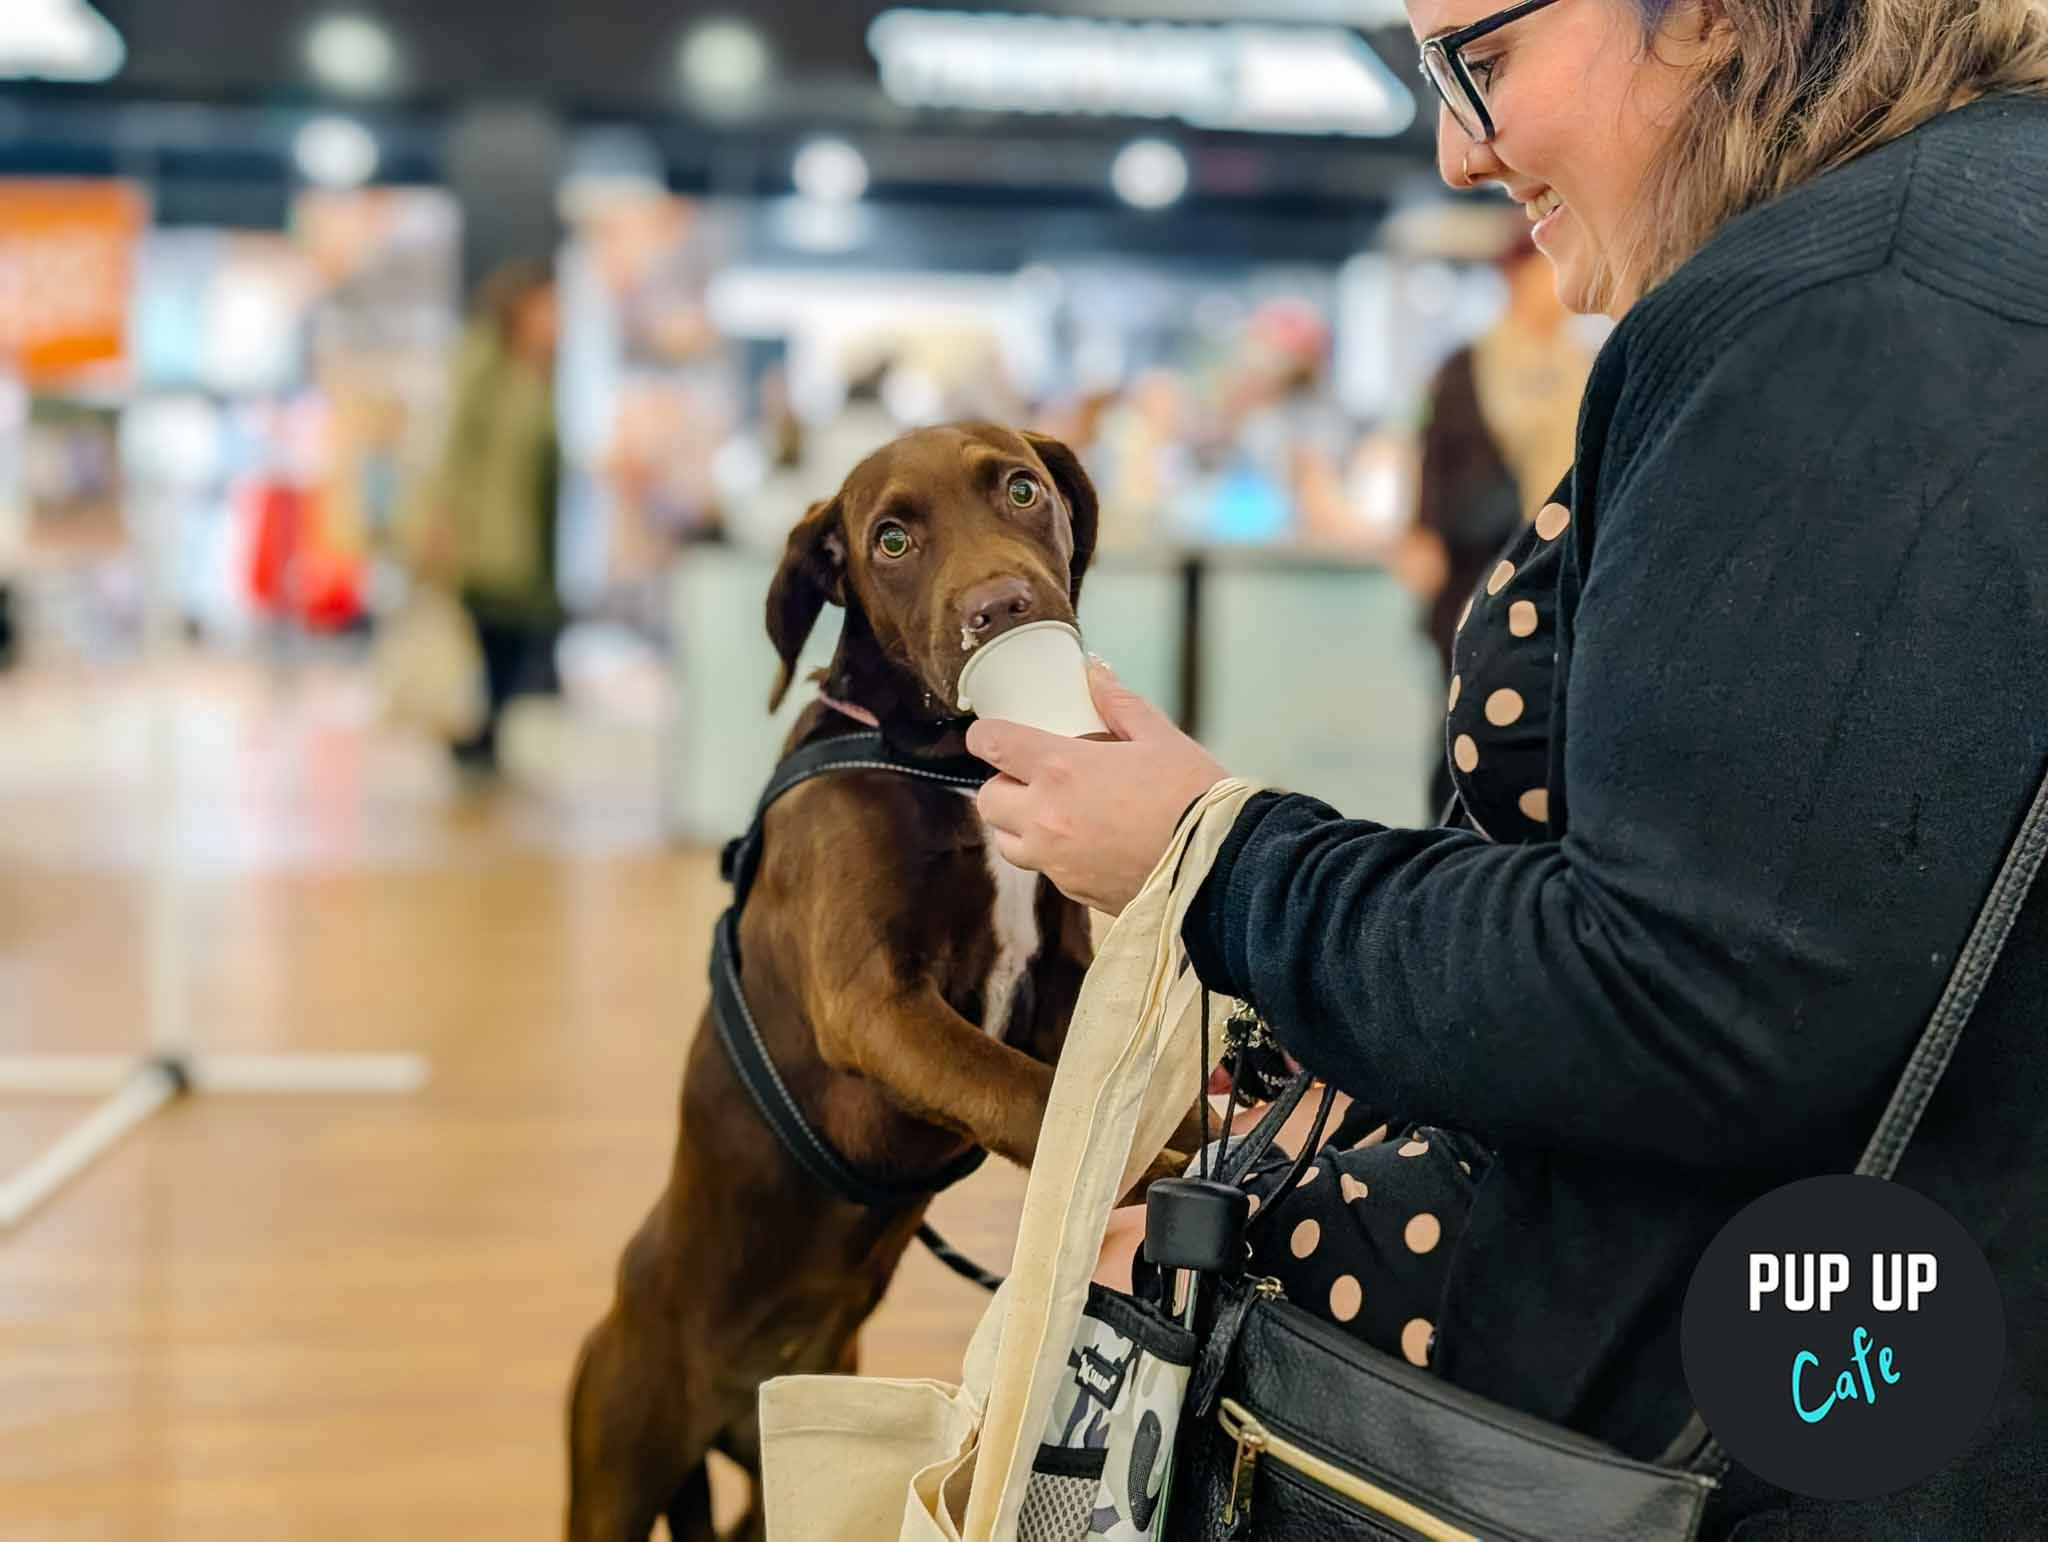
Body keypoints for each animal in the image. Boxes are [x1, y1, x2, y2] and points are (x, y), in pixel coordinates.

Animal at [565, 421, 1196, 1539]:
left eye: (1022, 489)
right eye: (891, 540)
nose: (1001, 606)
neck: (952, 764)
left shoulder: (1058, 986)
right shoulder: (875, 1014)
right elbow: (1024, 1092)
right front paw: (1154, 1160)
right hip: (613, 1469)